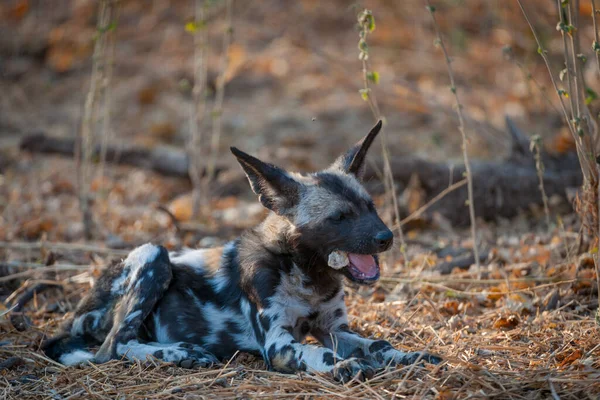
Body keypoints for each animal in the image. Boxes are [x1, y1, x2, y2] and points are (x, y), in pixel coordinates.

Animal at [43, 121, 440, 382]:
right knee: (113, 348)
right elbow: (318, 352)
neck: (307, 275)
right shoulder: (280, 345)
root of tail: (76, 311)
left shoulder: (335, 329)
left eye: (371, 207)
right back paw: (179, 353)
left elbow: (378, 344)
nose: (386, 237)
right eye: (339, 217)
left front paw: (409, 355)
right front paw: (343, 365)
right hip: (154, 254)